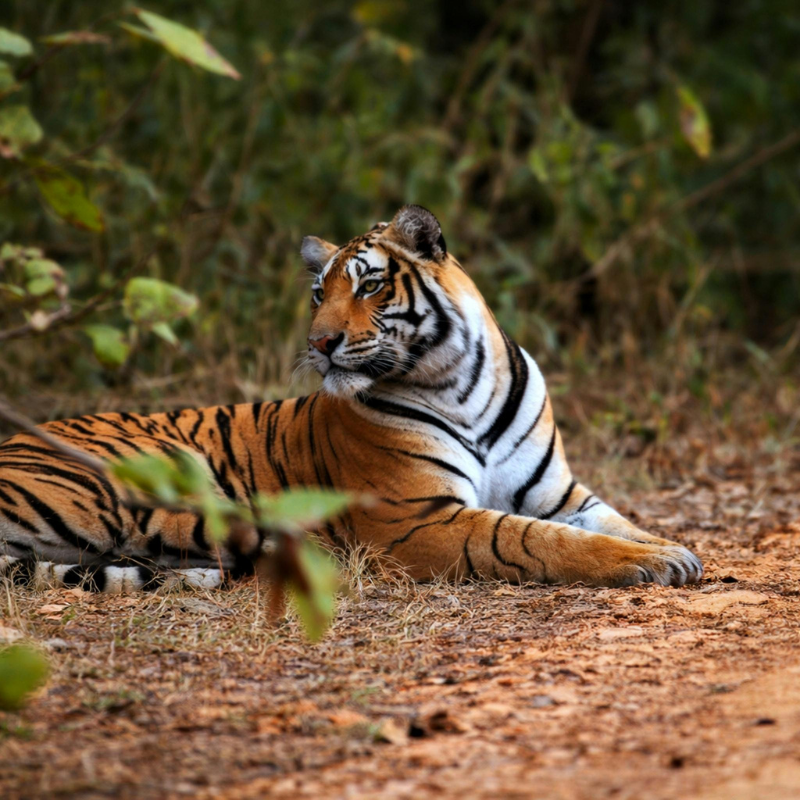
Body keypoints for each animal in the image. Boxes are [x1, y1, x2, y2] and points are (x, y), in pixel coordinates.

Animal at [0, 205, 703, 593]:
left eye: (368, 287)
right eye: (319, 294)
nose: (318, 342)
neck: (464, 383)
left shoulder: (563, 494)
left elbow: (616, 523)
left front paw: (674, 550)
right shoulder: (417, 519)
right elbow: (536, 540)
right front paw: (650, 562)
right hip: (123, 486)